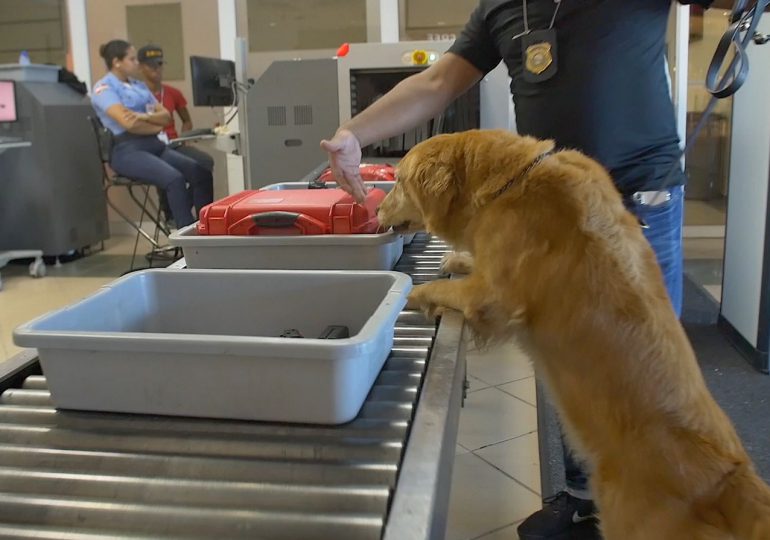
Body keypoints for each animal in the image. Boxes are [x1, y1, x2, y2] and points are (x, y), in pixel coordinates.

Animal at [376, 130, 768, 540]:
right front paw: (458, 259)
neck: (508, 182)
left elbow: (449, 289)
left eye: (398, 181)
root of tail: (729, 480)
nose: (377, 211)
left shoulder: (494, 297)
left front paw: (415, 293)